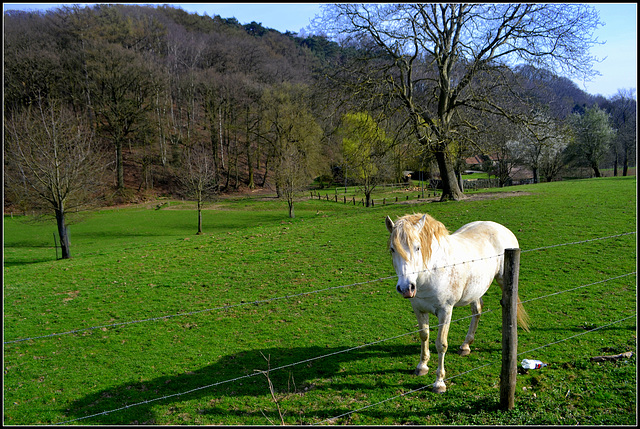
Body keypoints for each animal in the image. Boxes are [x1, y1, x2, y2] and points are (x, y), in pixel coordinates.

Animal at [384, 212, 528, 392]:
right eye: (392, 249)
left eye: (417, 247)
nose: (406, 288)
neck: (430, 273)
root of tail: (502, 228)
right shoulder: (418, 308)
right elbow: (424, 335)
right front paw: (422, 366)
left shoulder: (445, 311)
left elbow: (441, 344)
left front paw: (439, 382)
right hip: (475, 290)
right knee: (477, 310)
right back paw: (465, 345)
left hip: (503, 281)